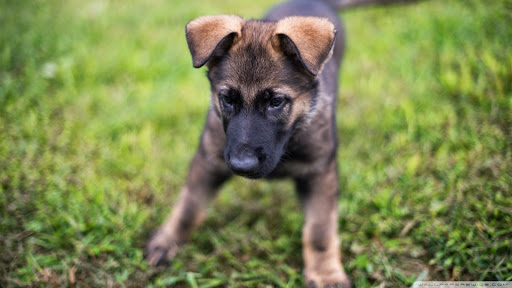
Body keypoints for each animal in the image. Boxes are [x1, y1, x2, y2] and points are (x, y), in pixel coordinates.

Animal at [144, 0, 412, 286]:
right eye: (226, 99)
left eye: (276, 102)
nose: (242, 166)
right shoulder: (210, 159)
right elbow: (189, 205)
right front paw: (168, 240)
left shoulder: (319, 172)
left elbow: (320, 231)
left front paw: (325, 272)